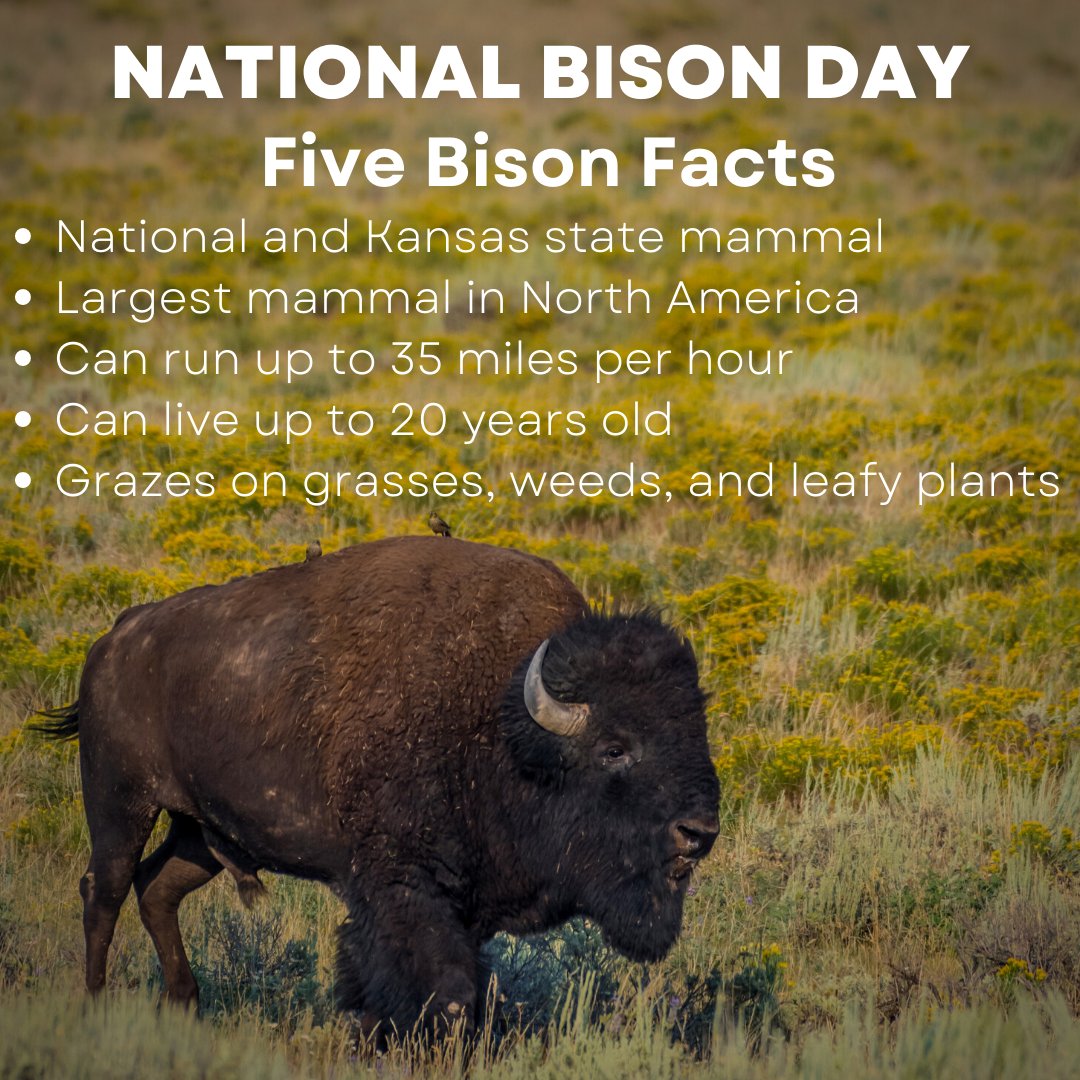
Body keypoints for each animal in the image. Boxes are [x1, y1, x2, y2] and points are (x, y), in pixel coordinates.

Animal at [42, 537, 719, 1035]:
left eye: (697, 730)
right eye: (614, 748)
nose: (699, 832)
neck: (501, 720)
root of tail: (115, 637)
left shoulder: (465, 900)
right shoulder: (404, 889)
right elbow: (440, 990)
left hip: (202, 832)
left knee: (157, 889)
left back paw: (186, 1005)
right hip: (121, 803)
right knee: (104, 891)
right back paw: (95, 1006)